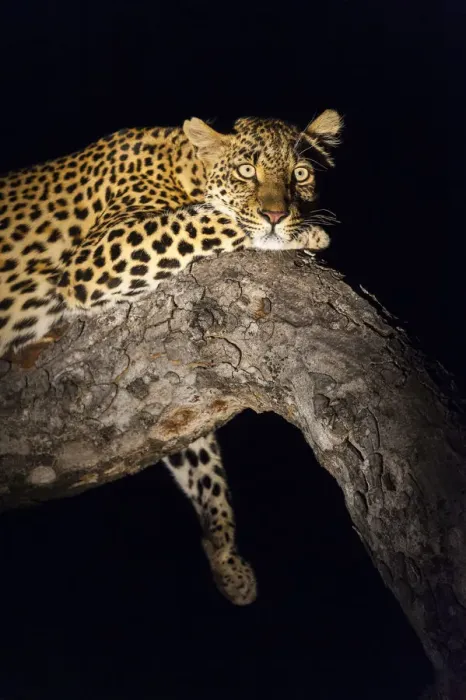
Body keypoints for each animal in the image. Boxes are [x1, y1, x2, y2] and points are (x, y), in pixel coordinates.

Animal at [0, 110, 342, 605]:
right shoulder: (98, 255)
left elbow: (202, 464)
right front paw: (304, 231)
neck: (183, 167)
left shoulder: (170, 393)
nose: (278, 214)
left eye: (300, 174)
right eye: (247, 171)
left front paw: (228, 562)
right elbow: (206, 220)